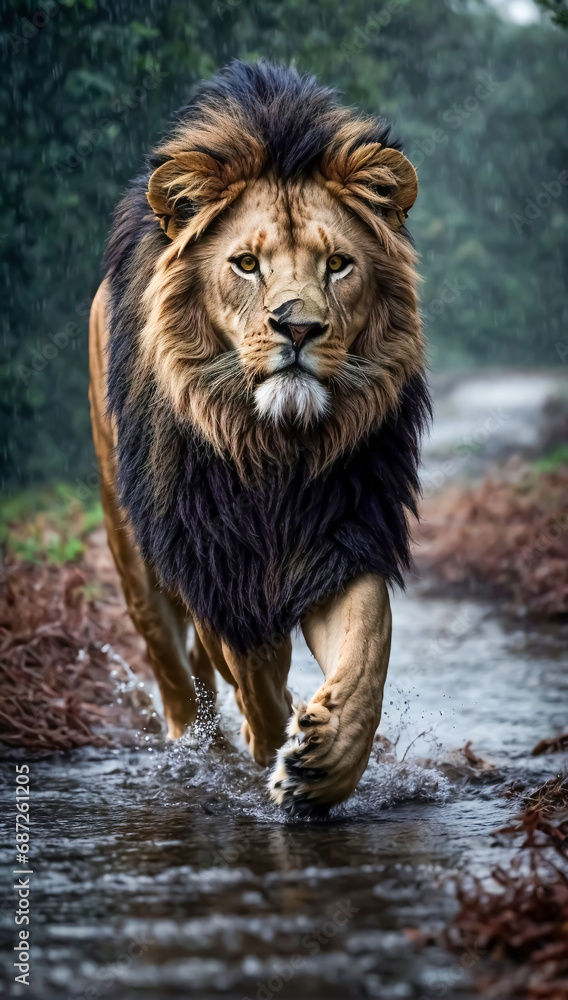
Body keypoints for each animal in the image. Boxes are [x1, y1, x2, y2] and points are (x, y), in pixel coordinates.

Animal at [89, 60, 430, 817]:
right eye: (246, 264)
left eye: (338, 265)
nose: (297, 327)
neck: (276, 450)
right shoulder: (214, 557)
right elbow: (252, 667)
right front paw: (271, 745)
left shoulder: (342, 534)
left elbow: (368, 645)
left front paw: (321, 764)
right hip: (136, 558)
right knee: (176, 676)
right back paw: (200, 751)